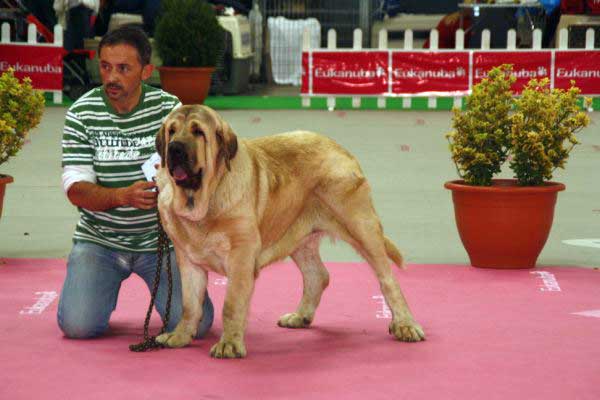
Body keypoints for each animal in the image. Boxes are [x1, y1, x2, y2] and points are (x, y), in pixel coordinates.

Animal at [155, 104, 426, 358]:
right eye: (171, 131)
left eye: (199, 132)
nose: (175, 149)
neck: (204, 199)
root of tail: (338, 148)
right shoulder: (189, 261)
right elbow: (190, 305)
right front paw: (180, 336)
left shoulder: (241, 256)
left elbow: (231, 304)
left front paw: (229, 344)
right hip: (299, 237)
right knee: (318, 275)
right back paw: (300, 316)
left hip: (362, 227)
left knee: (387, 279)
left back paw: (405, 325)